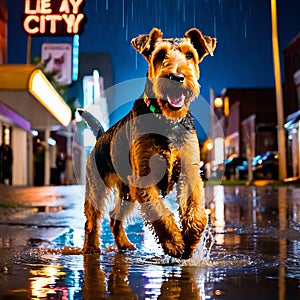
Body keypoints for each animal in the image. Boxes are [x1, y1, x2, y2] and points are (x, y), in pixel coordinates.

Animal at [82, 27, 216, 258]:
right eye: (160, 55)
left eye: (189, 54)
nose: (177, 77)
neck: (167, 120)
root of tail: (100, 137)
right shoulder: (145, 177)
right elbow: (159, 211)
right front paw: (174, 242)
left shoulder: (189, 171)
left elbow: (196, 213)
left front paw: (190, 241)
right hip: (96, 189)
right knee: (92, 222)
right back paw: (90, 247)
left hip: (127, 192)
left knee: (114, 217)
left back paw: (124, 244)